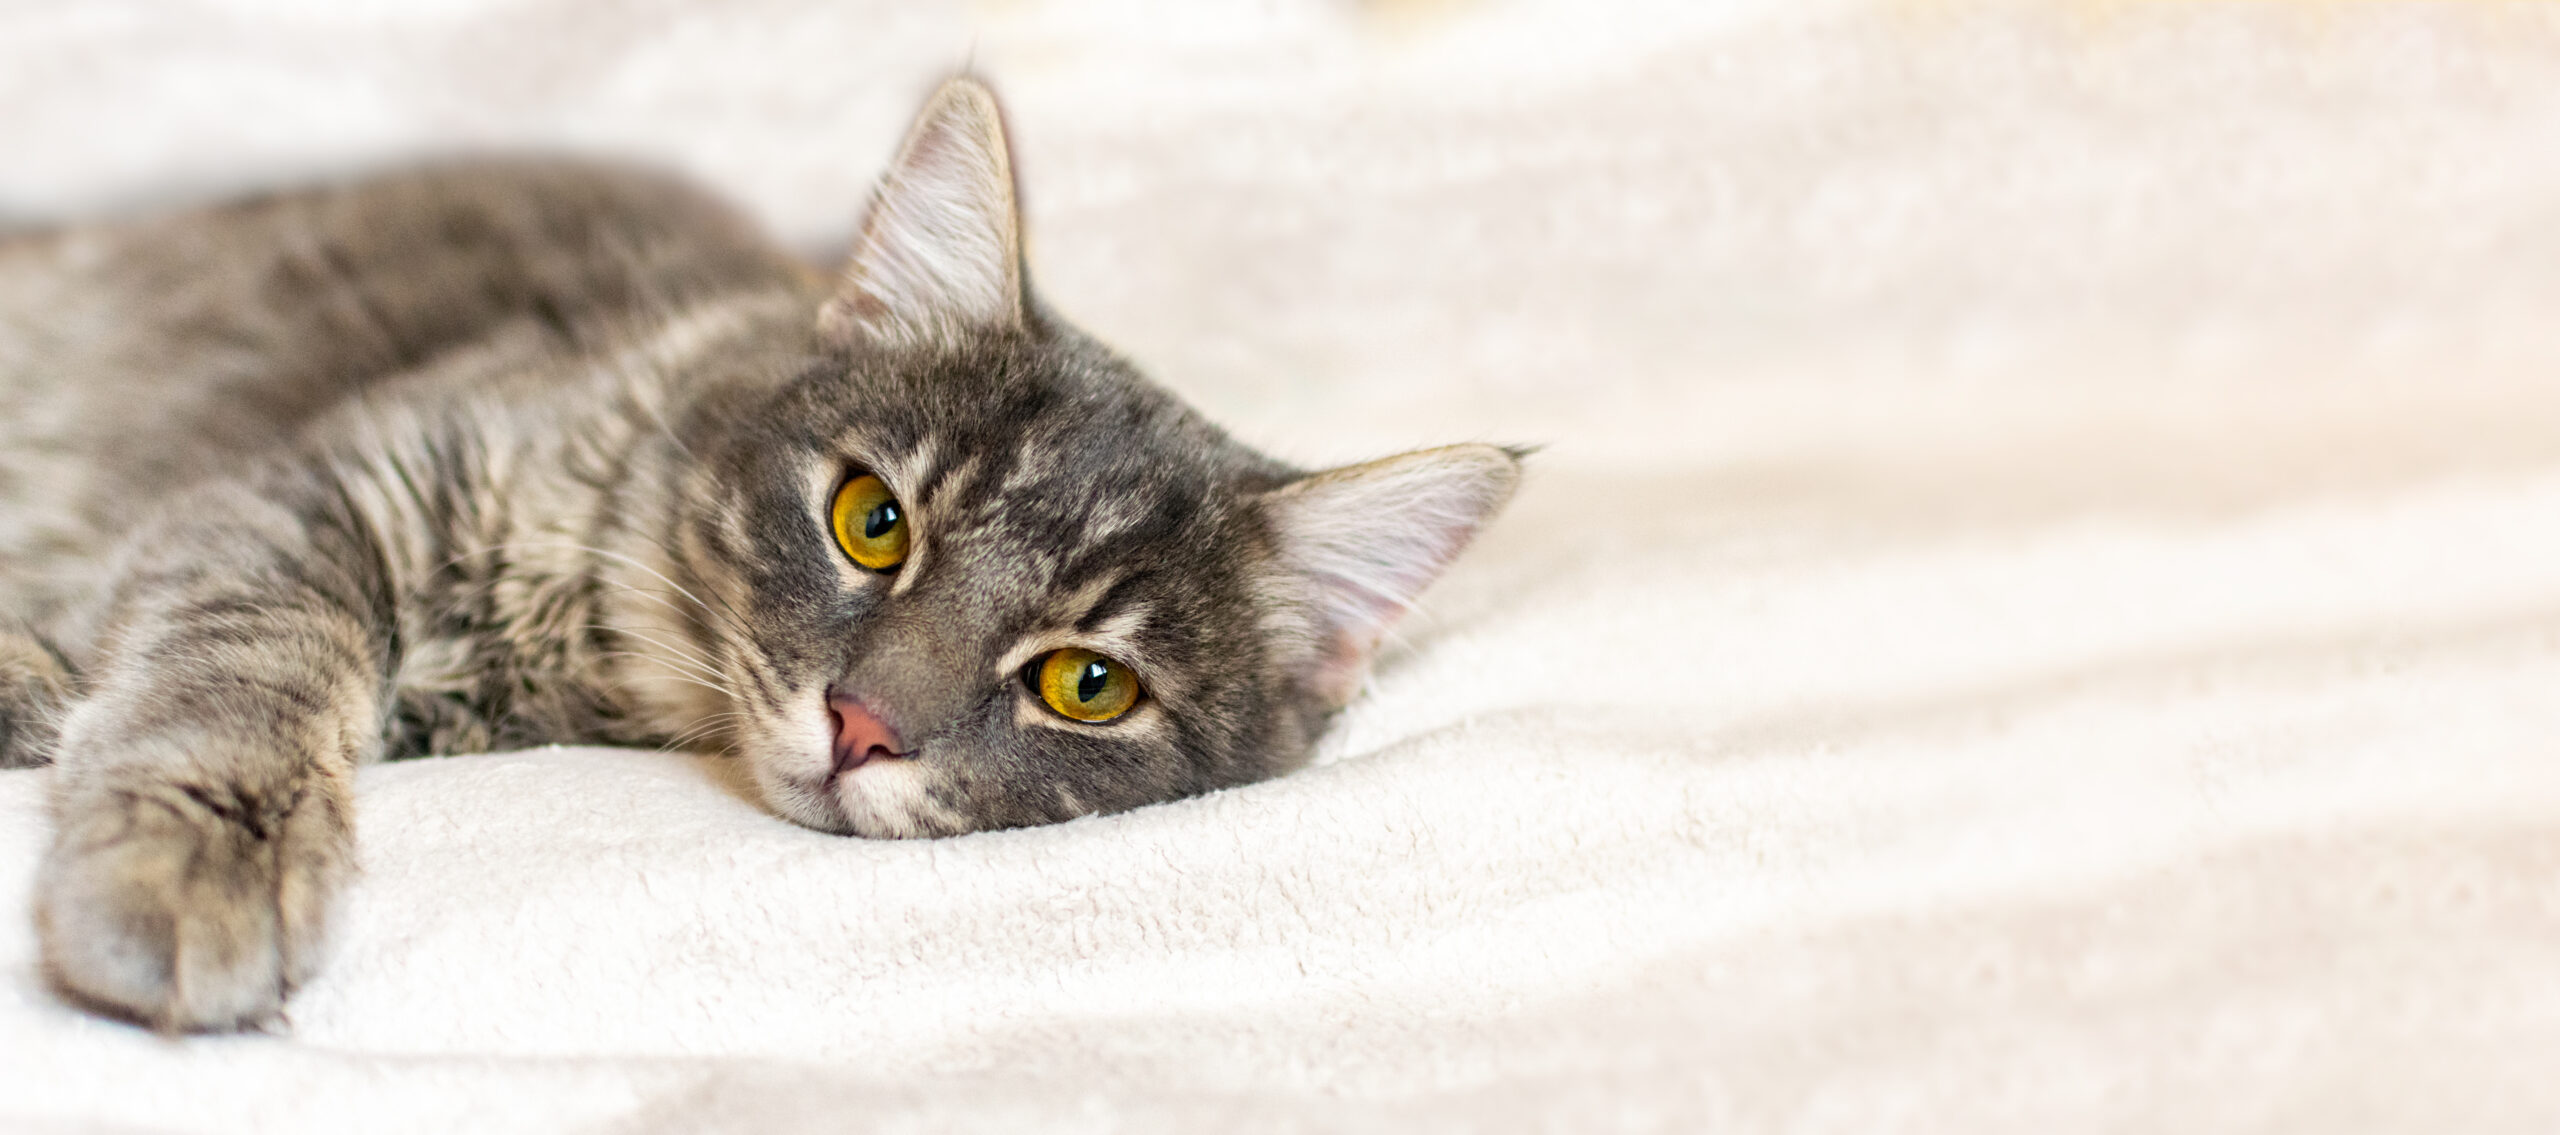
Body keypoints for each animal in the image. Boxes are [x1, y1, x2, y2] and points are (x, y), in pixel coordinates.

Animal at [0, 80, 1515, 1035]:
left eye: (1088, 685)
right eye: (872, 521)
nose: (861, 724)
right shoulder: (316, 491)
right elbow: (247, 662)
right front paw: (199, 857)